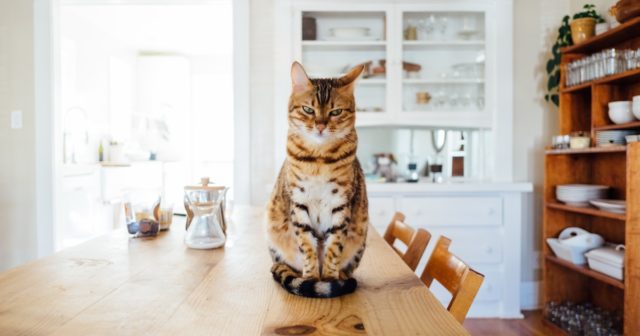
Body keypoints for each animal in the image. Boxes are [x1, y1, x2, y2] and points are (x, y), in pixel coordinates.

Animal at [266, 61, 370, 298]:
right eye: (308, 109)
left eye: (336, 112)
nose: (320, 126)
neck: (319, 159)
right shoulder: (299, 202)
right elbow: (307, 246)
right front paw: (311, 278)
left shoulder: (341, 204)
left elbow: (334, 247)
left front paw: (330, 279)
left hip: (360, 236)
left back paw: (341, 277)